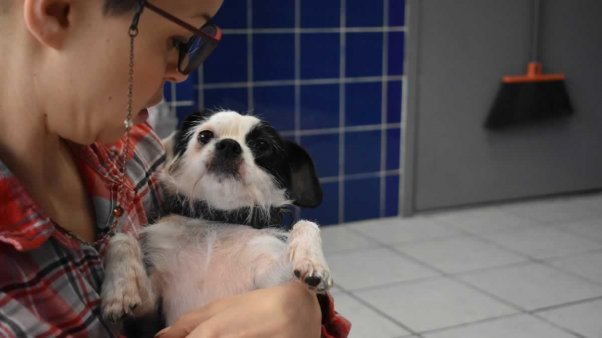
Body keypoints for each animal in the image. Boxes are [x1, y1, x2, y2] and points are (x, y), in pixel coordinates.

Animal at [100, 111, 330, 328]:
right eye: (204, 135)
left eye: (262, 144)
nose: (229, 145)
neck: (219, 220)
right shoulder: (148, 311)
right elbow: (120, 238)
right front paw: (120, 289)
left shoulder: (274, 284)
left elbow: (306, 224)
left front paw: (311, 260)